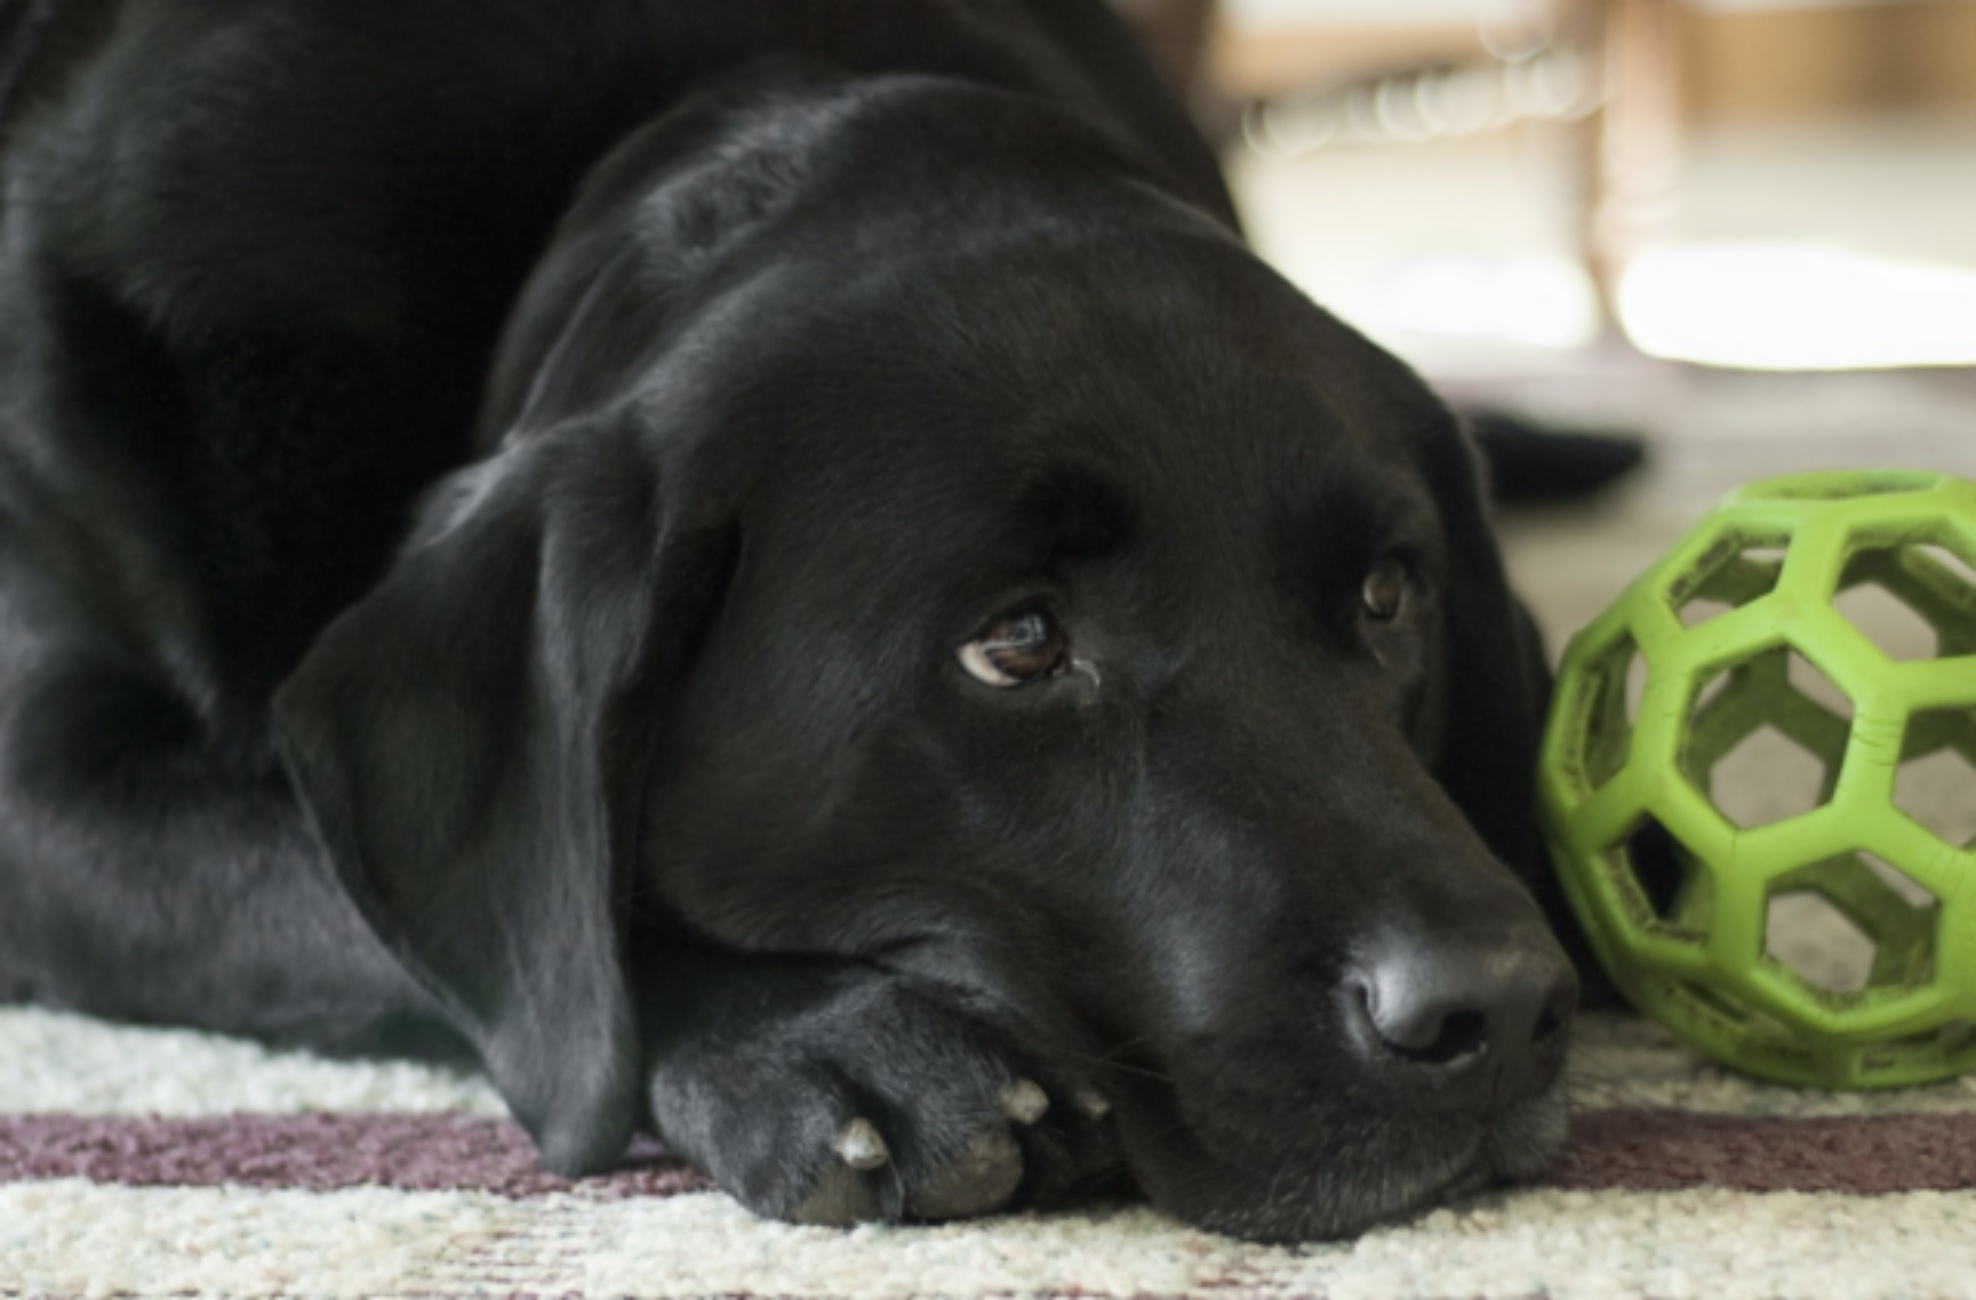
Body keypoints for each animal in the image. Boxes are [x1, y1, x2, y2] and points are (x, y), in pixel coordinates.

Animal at [0, 0, 1572, 1232]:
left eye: (1386, 592)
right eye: (1018, 642)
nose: (1493, 1007)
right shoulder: (46, 800)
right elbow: (409, 912)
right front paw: (826, 1047)